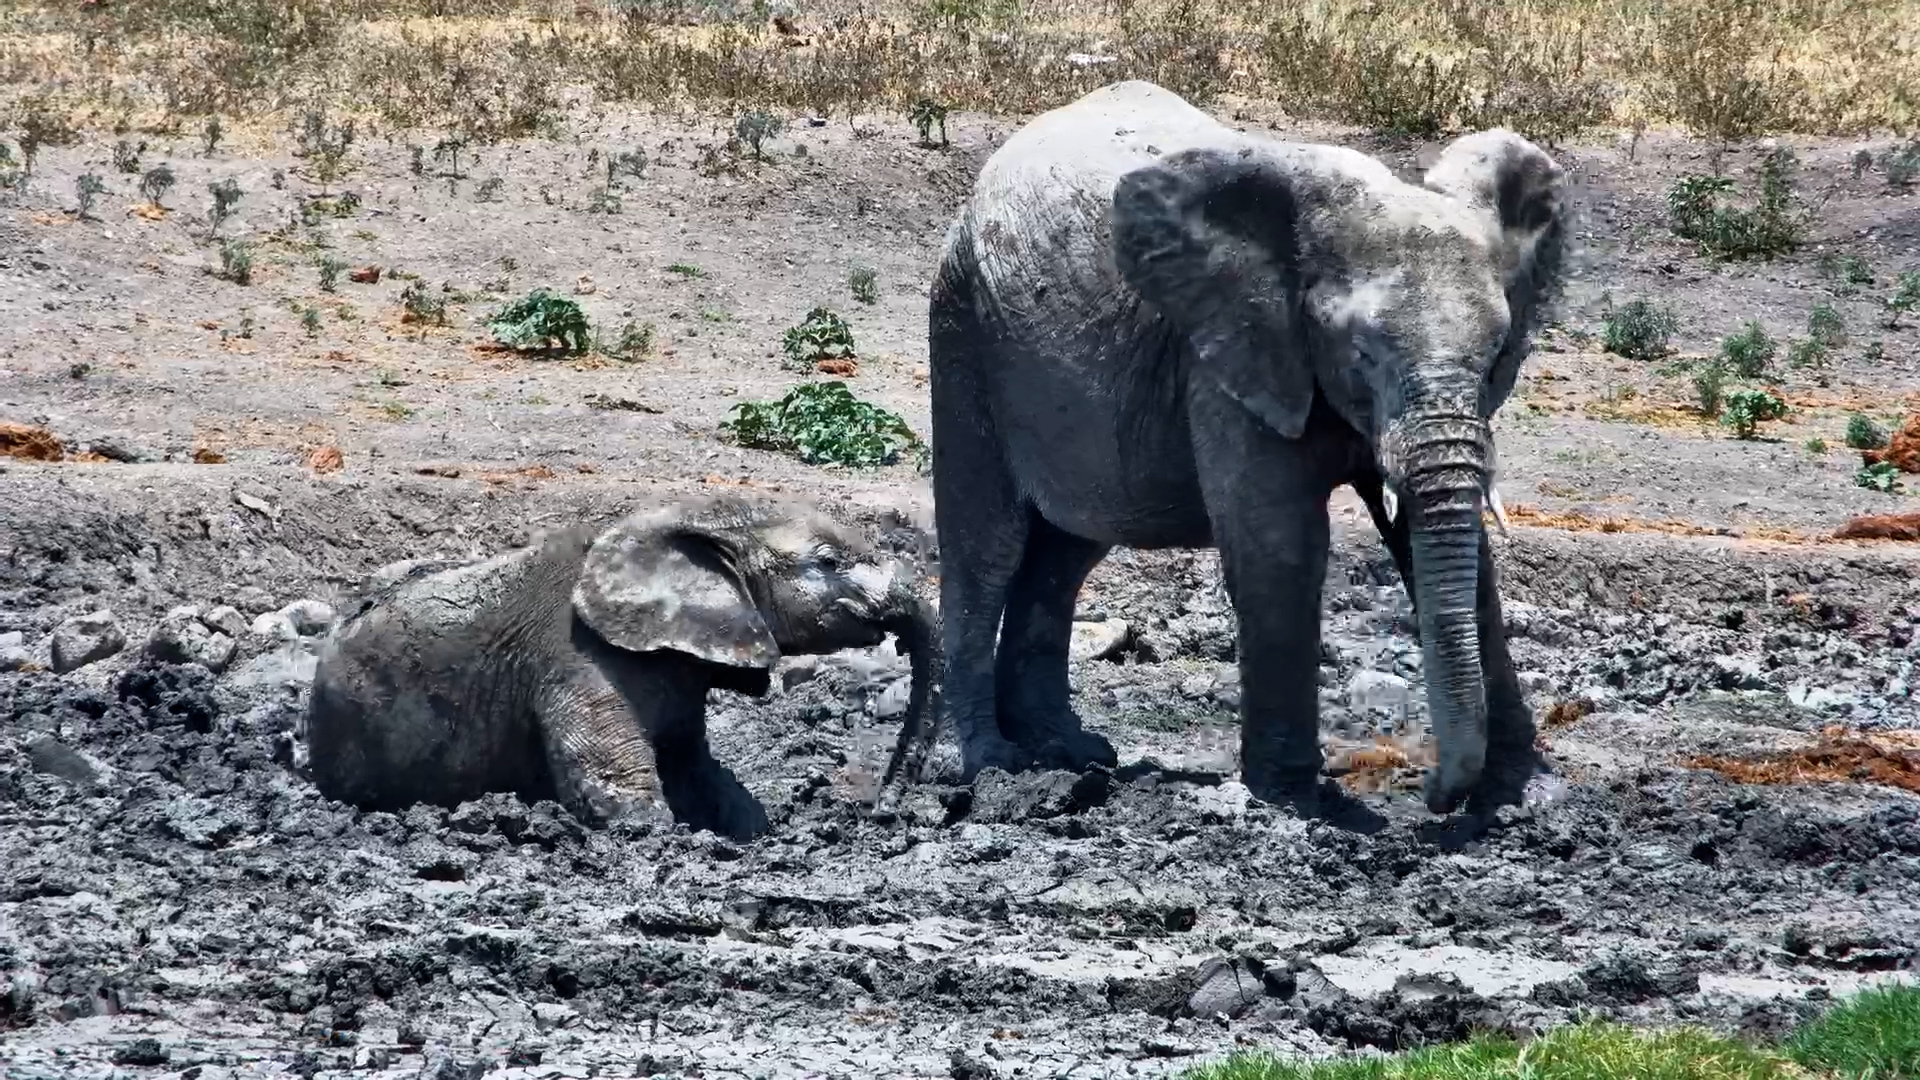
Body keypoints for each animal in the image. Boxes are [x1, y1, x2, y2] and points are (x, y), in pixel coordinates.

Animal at [305, 495, 943, 841]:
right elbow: (611, 787)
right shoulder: (576, 656)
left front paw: (749, 830)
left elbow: (698, 770)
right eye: (829, 563)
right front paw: (656, 835)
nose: (881, 811)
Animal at [925, 79, 1566, 818]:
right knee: (988, 547)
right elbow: (1282, 544)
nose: (1430, 793)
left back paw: (1067, 751)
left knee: (1067, 552)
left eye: (1496, 357)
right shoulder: (1230, 355)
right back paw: (988, 765)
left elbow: (1459, 556)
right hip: (964, 325)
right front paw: (1295, 802)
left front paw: (1520, 795)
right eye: (1361, 353)